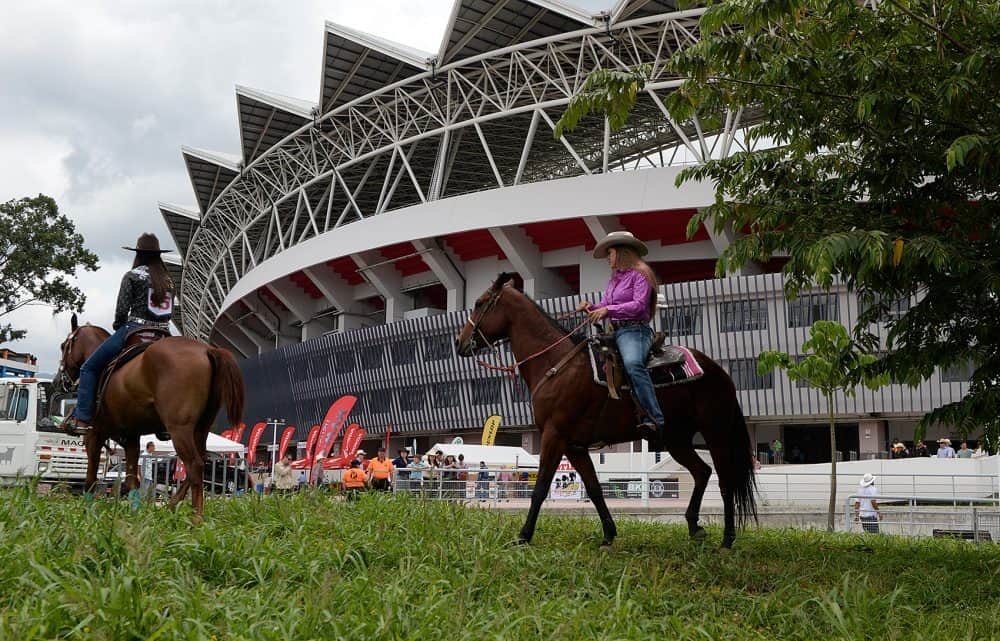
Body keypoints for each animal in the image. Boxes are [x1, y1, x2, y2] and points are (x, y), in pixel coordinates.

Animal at [56, 316, 244, 520]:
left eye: (63, 345)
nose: (60, 381)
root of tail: (207, 350)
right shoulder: (131, 437)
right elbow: (132, 480)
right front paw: (135, 514)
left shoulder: (94, 434)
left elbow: (90, 478)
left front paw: (87, 512)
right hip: (201, 428)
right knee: (200, 460)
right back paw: (171, 506)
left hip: (180, 429)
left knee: (195, 465)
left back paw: (196, 517)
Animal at [458, 272, 752, 548]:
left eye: (479, 302)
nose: (461, 343)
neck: (555, 364)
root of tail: (719, 371)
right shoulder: (574, 446)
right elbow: (594, 488)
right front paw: (609, 534)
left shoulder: (554, 436)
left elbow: (540, 488)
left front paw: (523, 536)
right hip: (676, 439)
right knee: (702, 472)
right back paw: (694, 526)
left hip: (715, 432)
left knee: (726, 482)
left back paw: (727, 539)